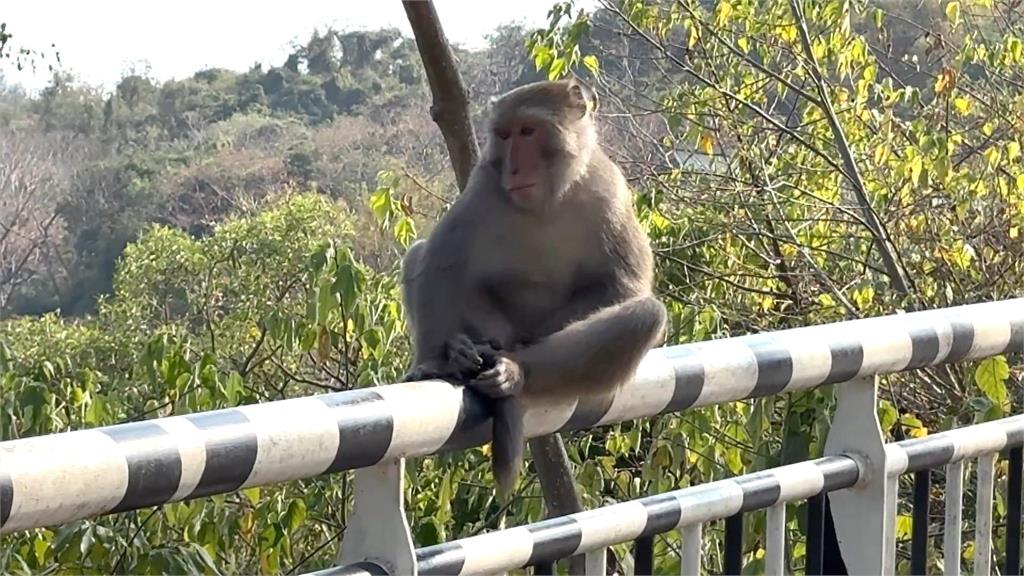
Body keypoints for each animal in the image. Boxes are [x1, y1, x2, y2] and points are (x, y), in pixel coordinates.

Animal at [395, 77, 667, 494]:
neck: (545, 201)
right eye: (504, 135)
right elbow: (442, 264)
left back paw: (515, 369)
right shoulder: (483, 186)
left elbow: (625, 286)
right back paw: (461, 353)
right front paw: (437, 360)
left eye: (527, 131)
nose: (514, 167)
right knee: (421, 256)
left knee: (644, 315)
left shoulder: (609, 189)